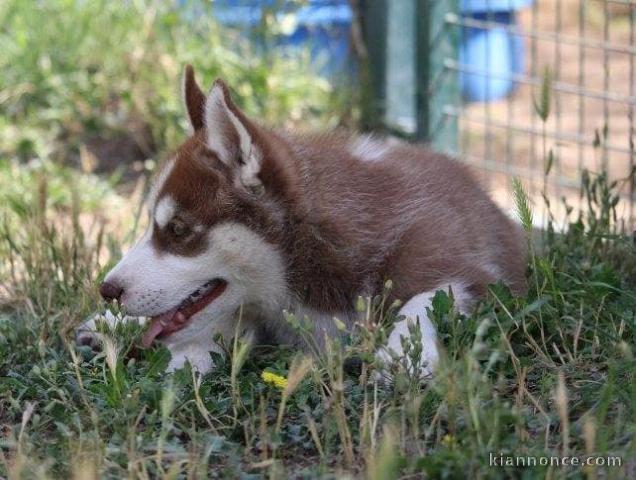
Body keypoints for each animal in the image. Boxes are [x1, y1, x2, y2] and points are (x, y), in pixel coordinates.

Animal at [77, 66, 528, 376]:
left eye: (178, 230)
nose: (107, 290)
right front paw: (188, 356)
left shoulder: (470, 268)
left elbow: (425, 301)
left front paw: (402, 356)